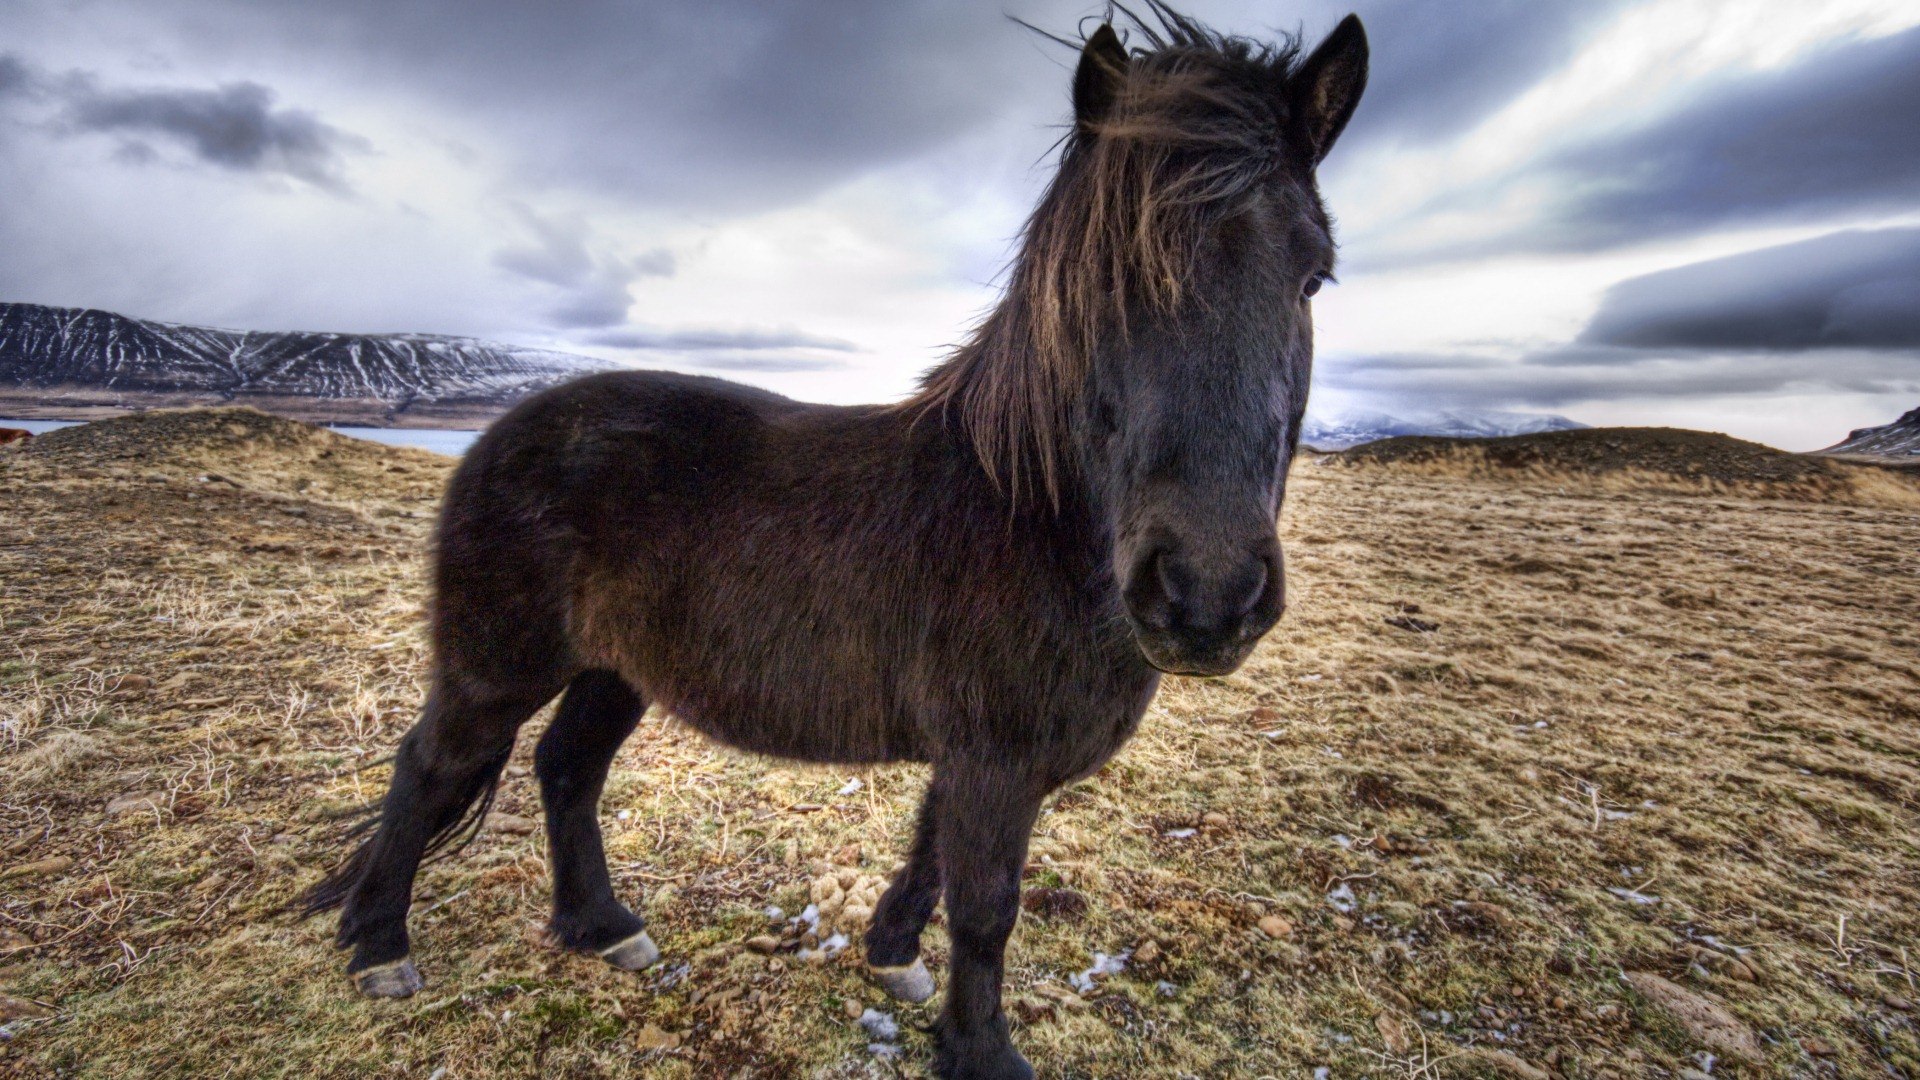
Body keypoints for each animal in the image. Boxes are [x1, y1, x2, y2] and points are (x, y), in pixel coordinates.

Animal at [303, 10, 1367, 1076]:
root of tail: (498, 432)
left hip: (614, 670)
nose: (1206, 595)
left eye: (1313, 276)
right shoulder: (994, 758)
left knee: (568, 769)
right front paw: (981, 1051)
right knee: (430, 766)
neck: (1030, 517)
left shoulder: (977, 756)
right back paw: (381, 948)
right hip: (495, 667)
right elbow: (987, 906)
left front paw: (892, 957)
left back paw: (603, 928)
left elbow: (931, 857)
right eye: (1111, 282)